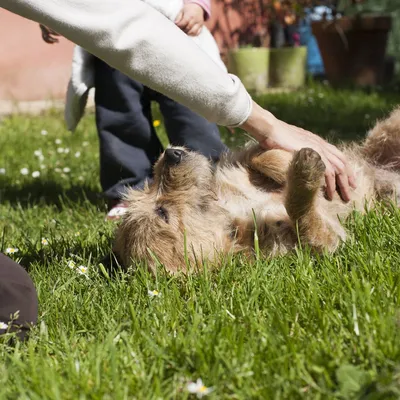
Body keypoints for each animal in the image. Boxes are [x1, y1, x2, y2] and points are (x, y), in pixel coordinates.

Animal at [111, 106, 400, 276]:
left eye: (148, 188)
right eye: (162, 212)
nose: (170, 153)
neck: (229, 212)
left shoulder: (245, 161)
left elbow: (264, 157)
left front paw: (291, 165)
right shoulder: (322, 242)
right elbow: (304, 217)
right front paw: (305, 175)